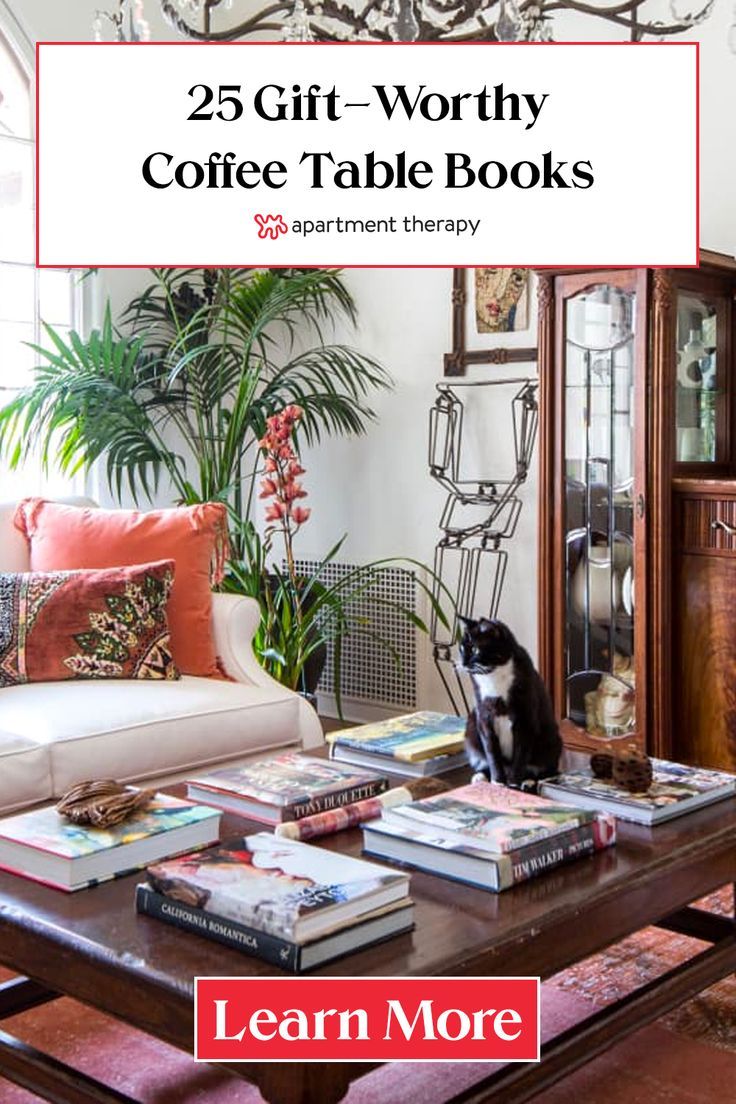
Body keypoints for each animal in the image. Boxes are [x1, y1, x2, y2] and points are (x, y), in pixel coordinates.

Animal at [456, 618, 560, 790]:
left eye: (476, 649)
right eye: (462, 647)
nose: (463, 663)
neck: (494, 674)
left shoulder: (525, 719)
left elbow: (520, 755)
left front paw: (512, 784)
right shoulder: (483, 716)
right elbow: (491, 751)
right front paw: (497, 782)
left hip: (550, 739)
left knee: (547, 769)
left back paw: (529, 780)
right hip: (471, 728)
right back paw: (480, 776)